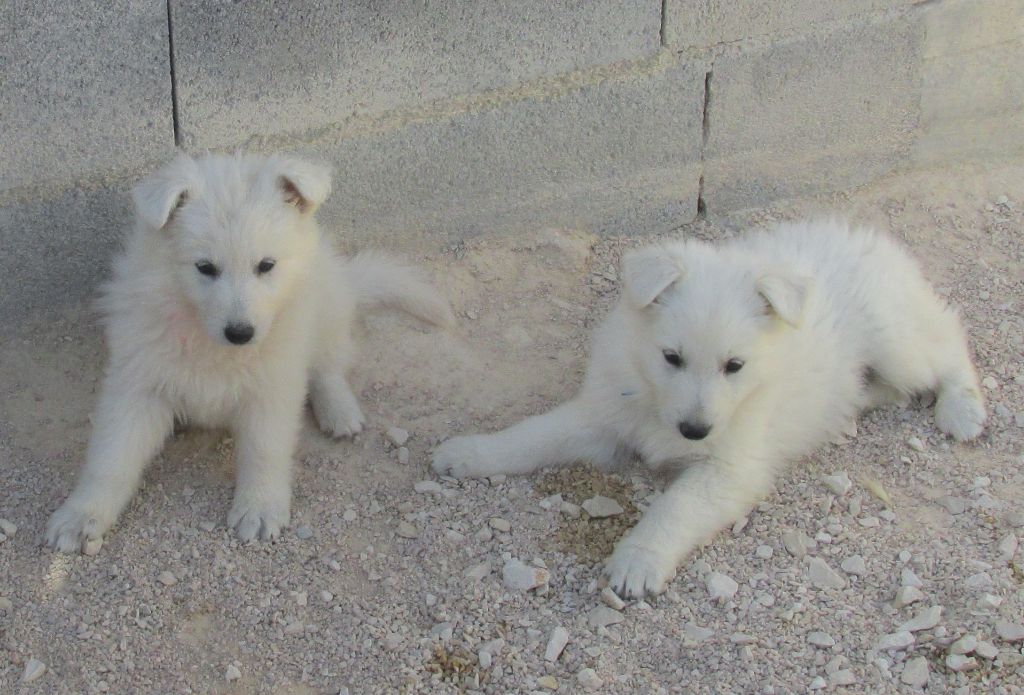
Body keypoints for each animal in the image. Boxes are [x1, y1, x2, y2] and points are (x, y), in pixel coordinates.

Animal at [44, 153, 452, 552]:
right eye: (205, 268)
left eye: (266, 266)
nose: (240, 333)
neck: (209, 339)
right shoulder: (138, 384)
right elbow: (111, 458)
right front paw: (81, 516)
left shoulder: (272, 387)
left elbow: (264, 450)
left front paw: (260, 507)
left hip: (327, 309)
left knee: (328, 367)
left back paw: (339, 411)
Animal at [436, 221, 987, 597]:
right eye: (671, 357)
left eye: (734, 366)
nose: (694, 430)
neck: (656, 405)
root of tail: (873, 240)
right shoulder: (602, 416)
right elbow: (532, 435)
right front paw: (468, 454)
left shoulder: (730, 468)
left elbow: (674, 508)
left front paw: (638, 559)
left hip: (897, 342)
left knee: (949, 342)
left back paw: (963, 411)